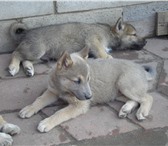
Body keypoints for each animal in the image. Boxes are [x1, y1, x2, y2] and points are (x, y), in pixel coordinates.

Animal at [8, 18, 146, 76]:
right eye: (134, 34)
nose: (145, 42)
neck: (109, 33)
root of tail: (26, 33)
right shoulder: (93, 40)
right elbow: (102, 52)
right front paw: (107, 57)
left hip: (40, 57)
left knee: (25, 60)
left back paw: (28, 69)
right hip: (37, 51)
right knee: (16, 53)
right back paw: (13, 67)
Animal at [18, 47, 154, 132]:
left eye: (88, 79)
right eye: (77, 81)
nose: (90, 97)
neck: (64, 89)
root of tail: (140, 68)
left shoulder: (79, 105)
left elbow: (60, 113)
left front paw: (47, 122)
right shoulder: (52, 92)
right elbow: (39, 100)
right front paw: (29, 108)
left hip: (124, 85)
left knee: (147, 97)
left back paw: (142, 111)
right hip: (117, 93)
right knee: (136, 99)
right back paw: (125, 109)